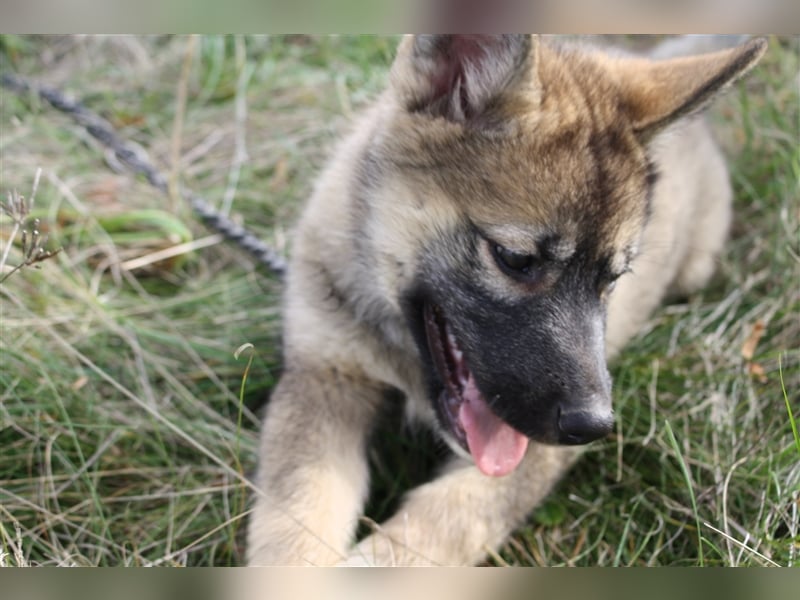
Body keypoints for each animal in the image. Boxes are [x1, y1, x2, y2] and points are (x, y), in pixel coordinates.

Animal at [245, 35, 768, 564]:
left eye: (612, 279)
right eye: (515, 258)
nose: (593, 425)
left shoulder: (533, 455)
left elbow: (450, 516)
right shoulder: (323, 379)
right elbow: (295, 514)